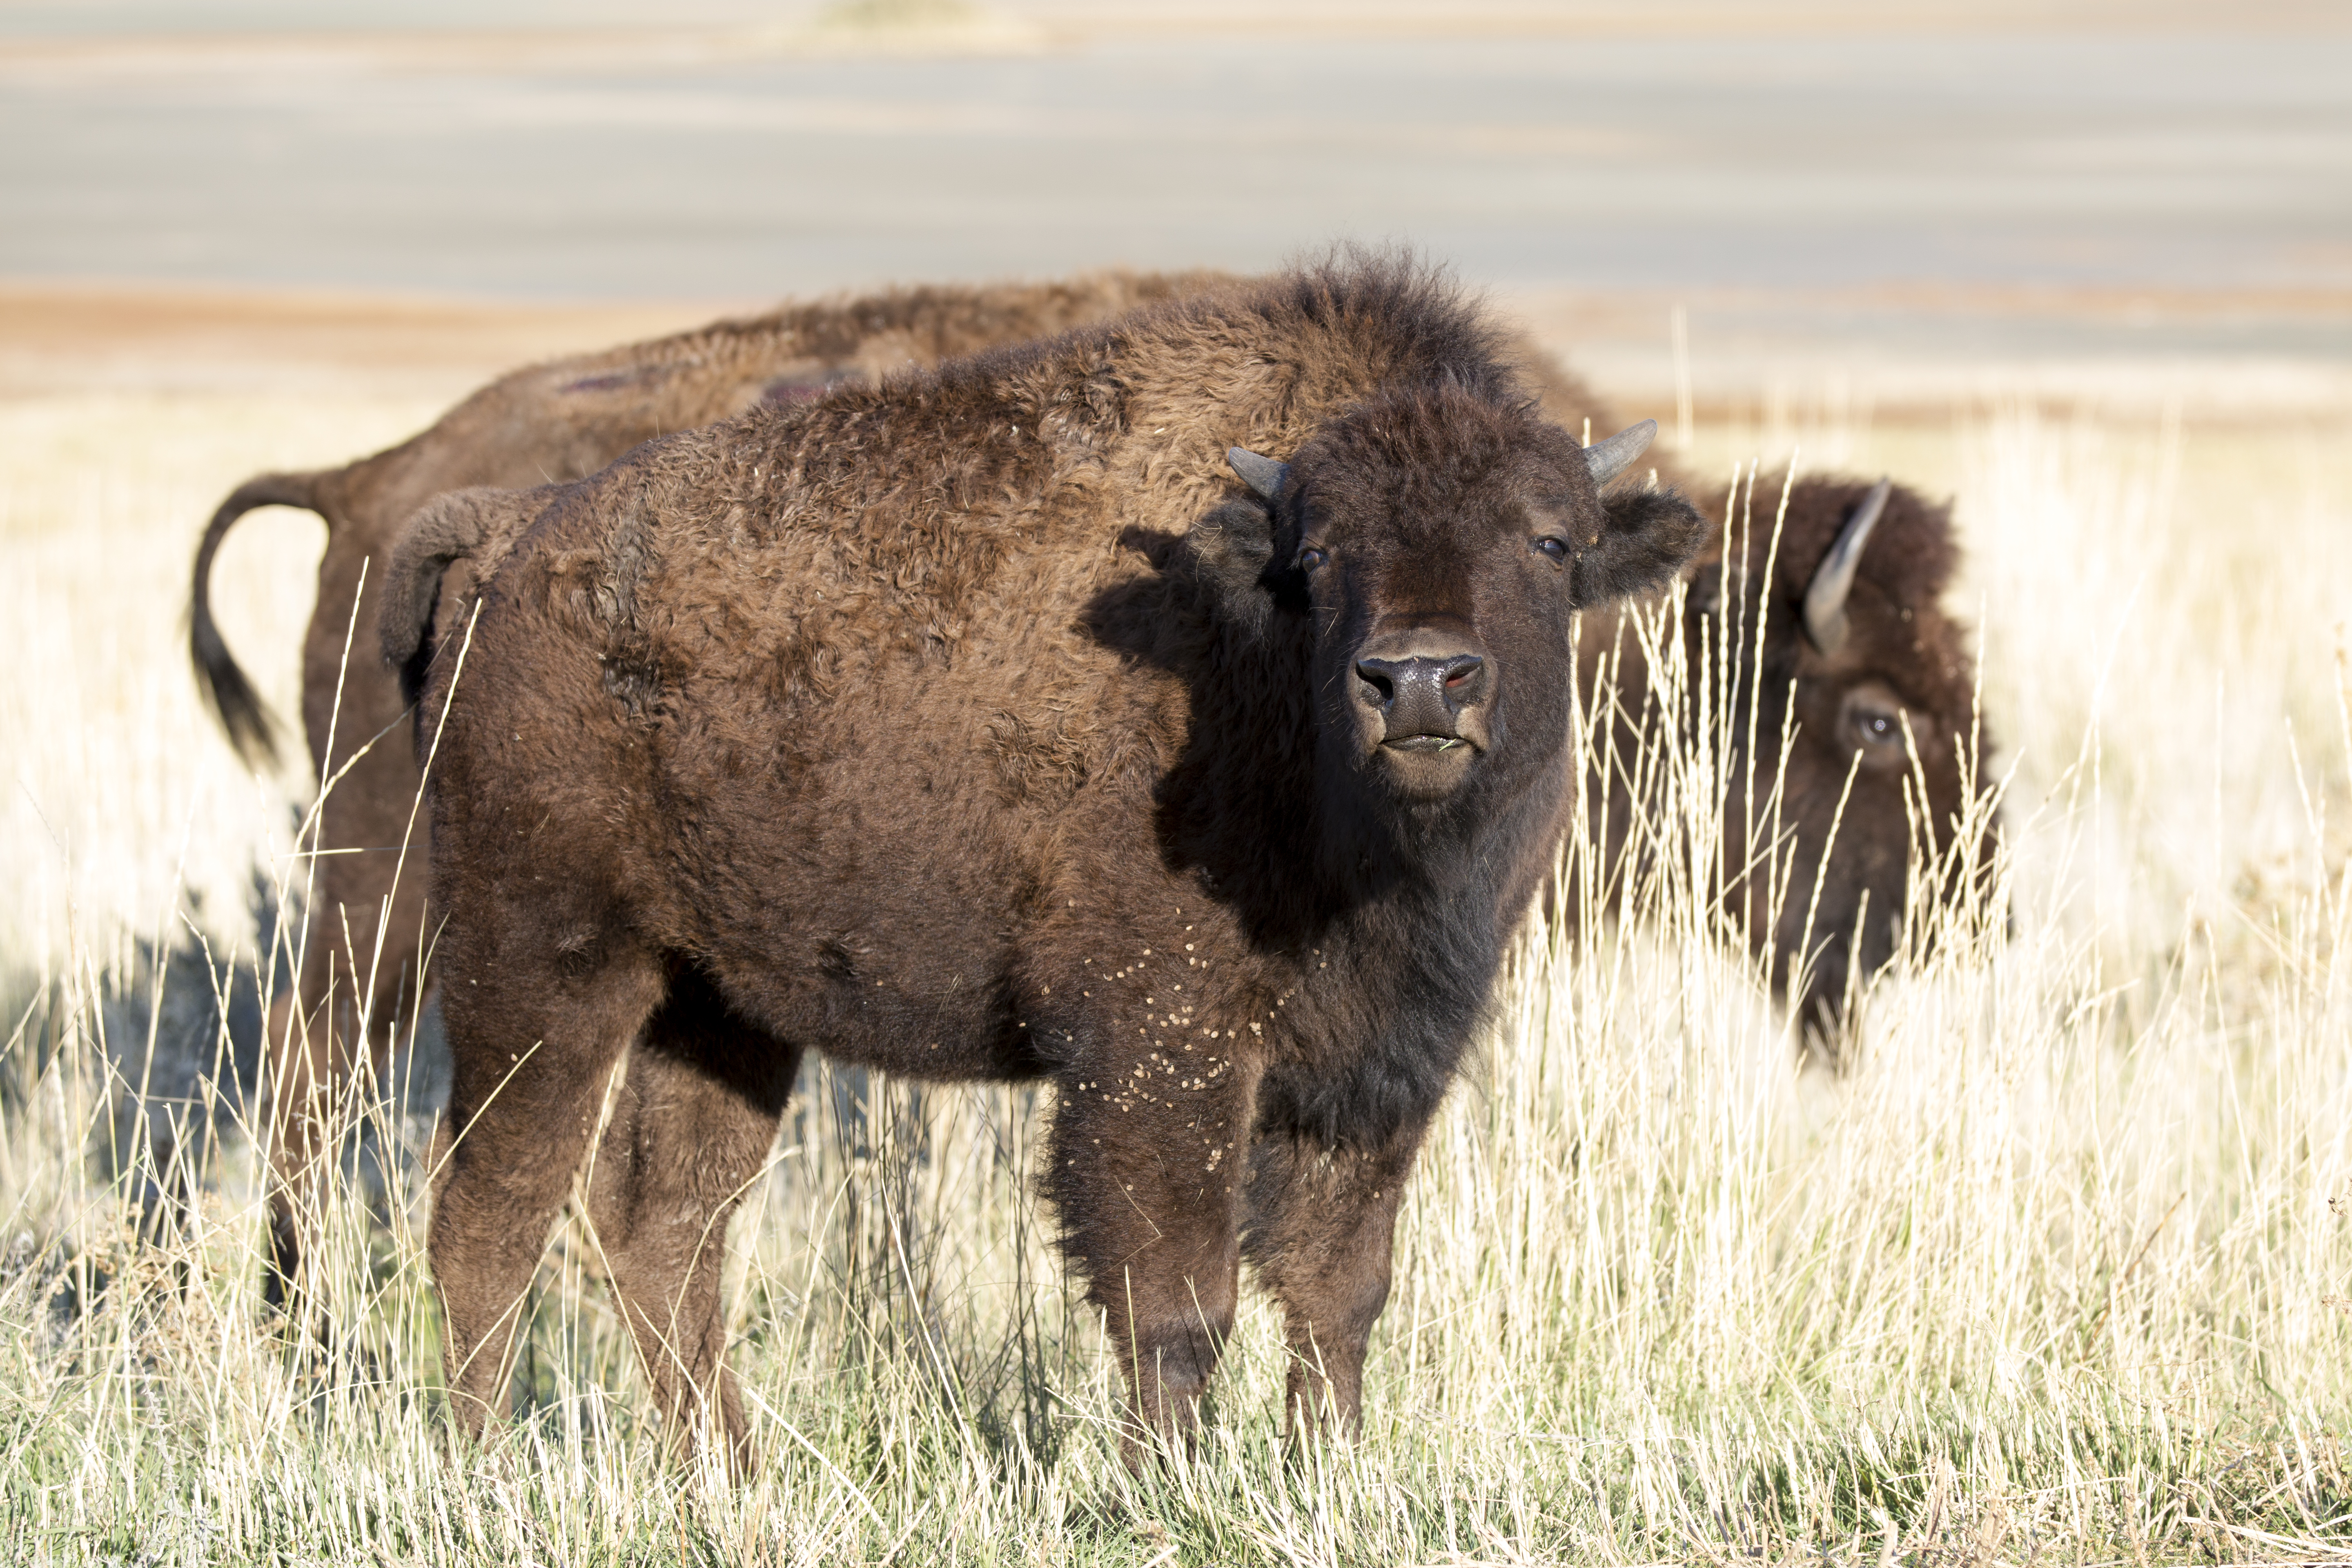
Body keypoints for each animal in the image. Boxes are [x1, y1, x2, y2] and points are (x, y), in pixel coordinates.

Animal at [381, 252, 1712, 1467]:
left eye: (1549, 541)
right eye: (1319, 553)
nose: (1420, 679)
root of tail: (512, 540)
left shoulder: (1381, 1062)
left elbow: (1338, 1288)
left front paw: (1325, 1469)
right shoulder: (1157, 1053)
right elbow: (1177, 1302)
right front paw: (1166, 1489)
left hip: (716, 1006)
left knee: (663, 1219)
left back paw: (728, 1476)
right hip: (540, 963)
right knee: (490, 1211)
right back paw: (481, 1468)